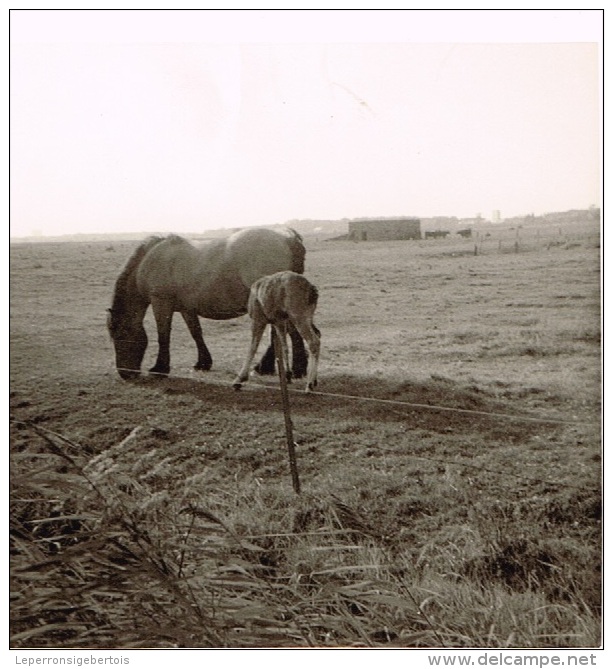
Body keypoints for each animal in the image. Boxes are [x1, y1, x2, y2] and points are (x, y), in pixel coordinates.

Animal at [107, 227, 308, 378]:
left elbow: (163, 335)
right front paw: (203, 362)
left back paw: (291, 368)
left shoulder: (161, 303)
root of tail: (288, 237)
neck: (149, 261)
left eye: (120, 336)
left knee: (286, 331)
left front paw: (160, 368)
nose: (124, 374)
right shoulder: (187, 308)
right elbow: (196, 332)